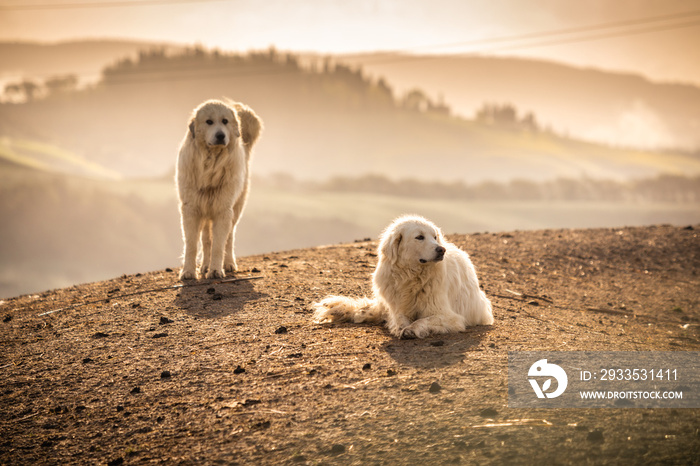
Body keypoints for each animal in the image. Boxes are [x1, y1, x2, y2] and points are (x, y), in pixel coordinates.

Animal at [175, 99, 262, 280]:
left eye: (225, 121)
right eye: (209, 122)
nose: (221, 135)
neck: (210, 163)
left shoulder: (223, 210)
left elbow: (219, 245)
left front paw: (216, 270)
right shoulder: (191, 209)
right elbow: (192, 244)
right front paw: (188, 272)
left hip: (234, 210)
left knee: (229, 238)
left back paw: (228, 264)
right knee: (206, 239)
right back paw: (204, 266)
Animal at [314, 215, 494, 338]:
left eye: (434, 237)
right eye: (419, 237)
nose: (441, 249)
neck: (411, 277)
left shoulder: (449, 316)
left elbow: (422, 320)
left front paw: (411, 329)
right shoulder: (398, 307)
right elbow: (399, 318)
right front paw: (401, 327)